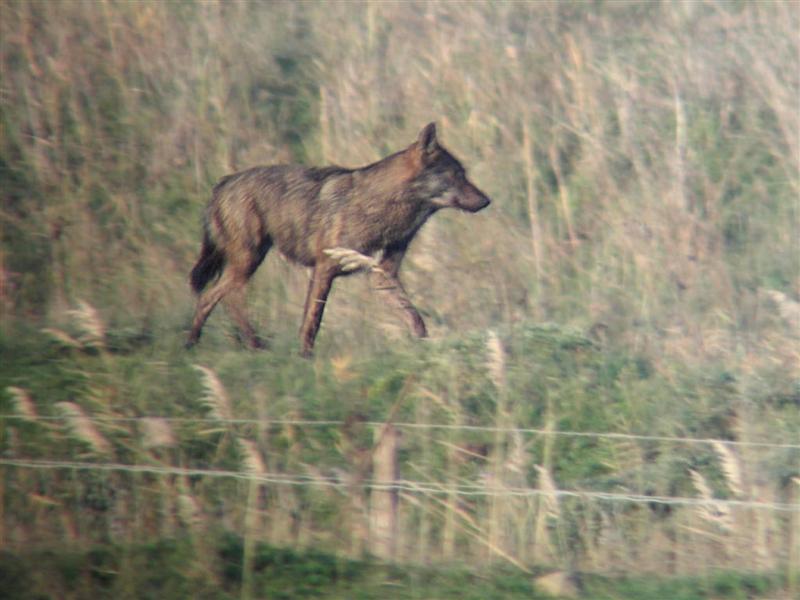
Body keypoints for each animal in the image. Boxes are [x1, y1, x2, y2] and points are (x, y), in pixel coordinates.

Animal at [186, 122, 490, 356]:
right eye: (457, 175)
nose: (487, 201)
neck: (384, 206)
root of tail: (223, 183)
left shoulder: (381, 274)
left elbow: (414, 318)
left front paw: (425, 350)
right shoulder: (324, 269)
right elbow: (313, 322)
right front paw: (305, 359)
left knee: (214, 298)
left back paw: (197, 344)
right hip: (249, 261)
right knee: (221, 296)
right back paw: (245, 344)